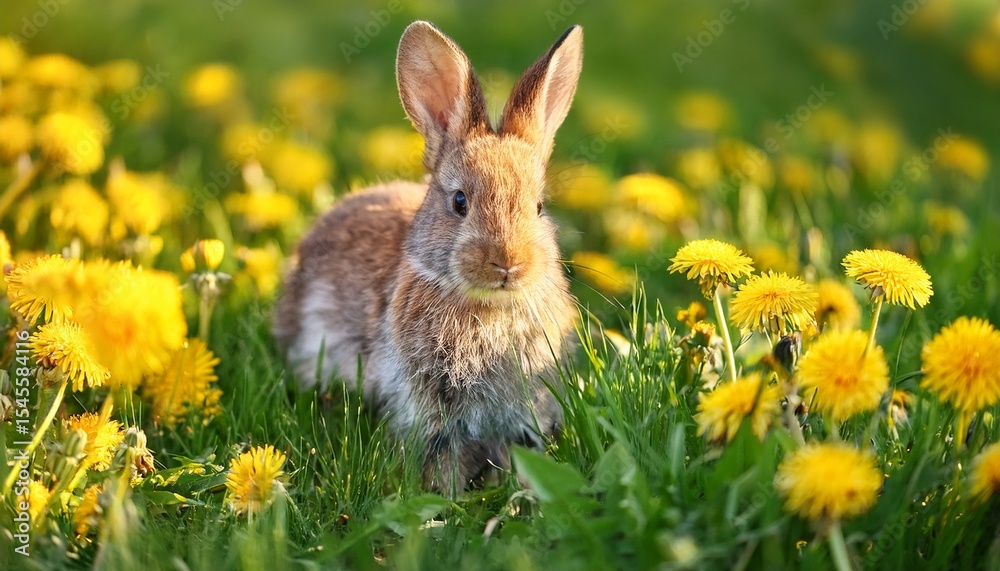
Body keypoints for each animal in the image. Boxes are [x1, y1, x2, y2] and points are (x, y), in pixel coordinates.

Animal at [274, 20, 583, 494]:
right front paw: (448, 498)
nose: (508, 264)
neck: (488, 309)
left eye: (539, 207)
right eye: (459, 201)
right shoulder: (431, 414)